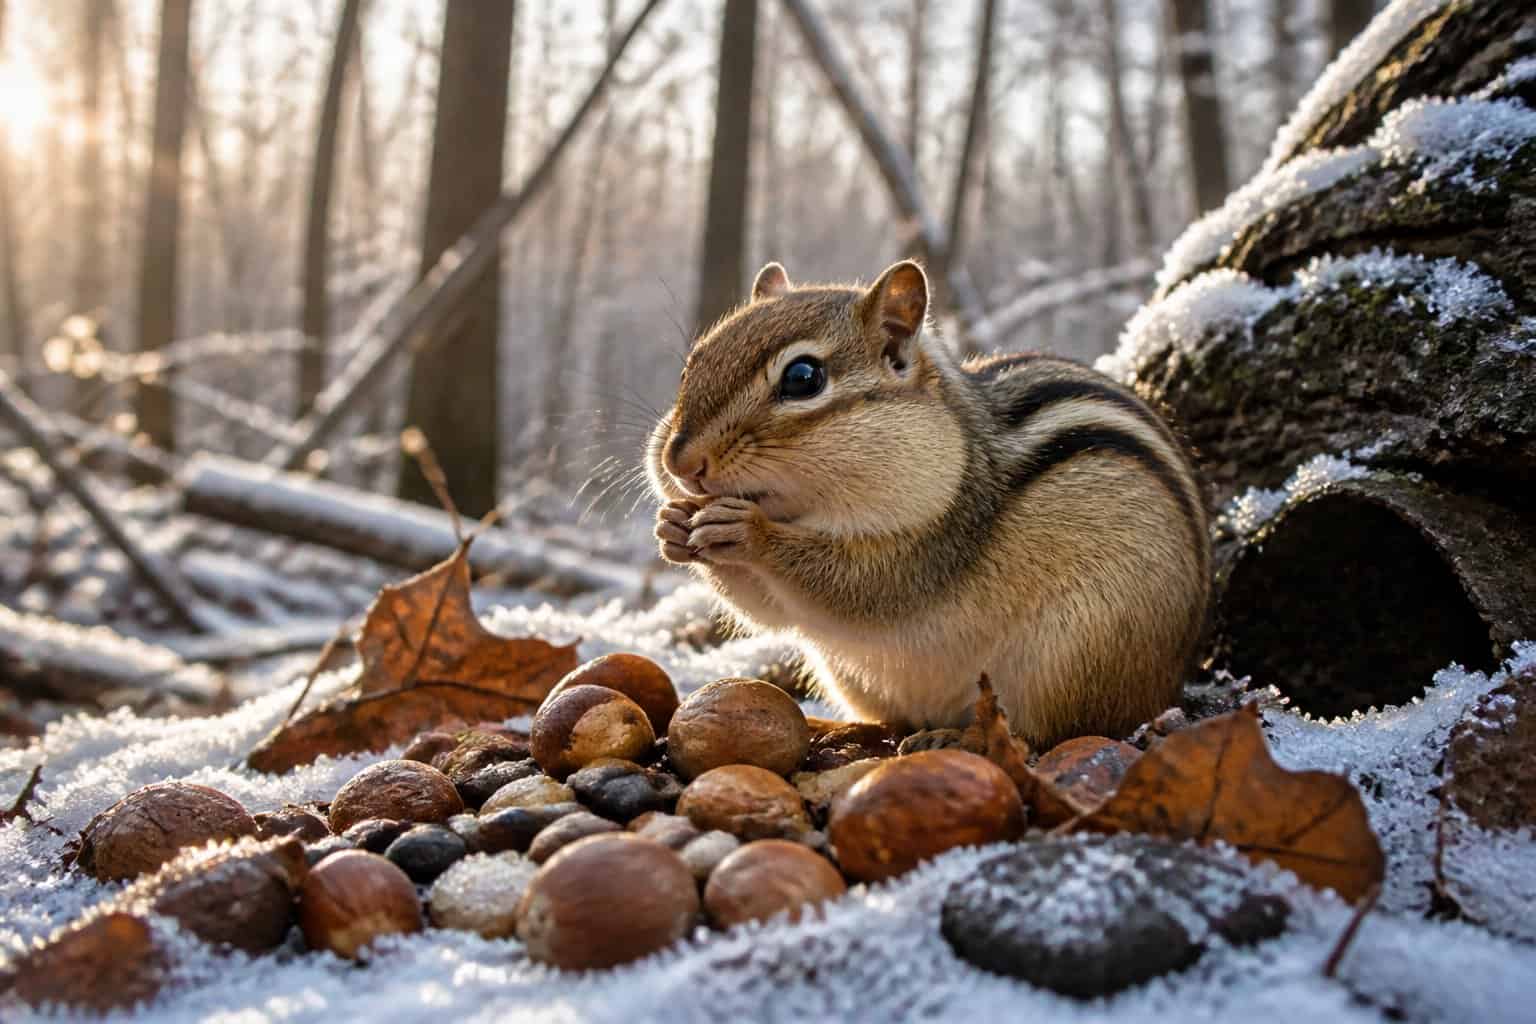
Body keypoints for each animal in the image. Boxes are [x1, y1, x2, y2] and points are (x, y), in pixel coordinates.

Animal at [647, 259, 1210, 749]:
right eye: (694, 363)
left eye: (803, 378)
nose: (679, 462)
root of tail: (1169, 685)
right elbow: (768, 610)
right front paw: (672, 527)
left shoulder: (941, 536)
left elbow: (863, 587)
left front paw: (749, 532)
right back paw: (848, 728)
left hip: (1071, 659)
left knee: (1048, 733)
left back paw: (959, 737)